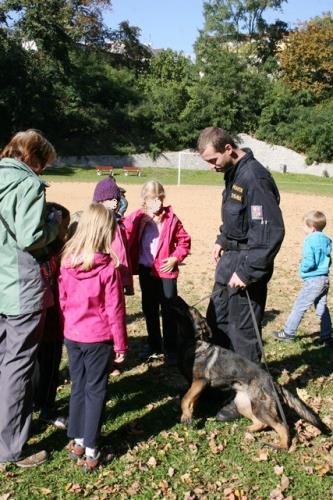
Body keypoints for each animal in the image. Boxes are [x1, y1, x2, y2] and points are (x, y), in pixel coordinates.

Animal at [172, 296, 328, 450]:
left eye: (191, 310)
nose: (177, 297)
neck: (192, 342)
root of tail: (272, 381)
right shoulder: (196, 385)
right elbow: (190, 400)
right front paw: (189, 415)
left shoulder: (200, 381)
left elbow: (185, 398)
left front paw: (185, 416)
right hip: (244, 403)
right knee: (262, 423)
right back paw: (246, 430)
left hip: (260, 407)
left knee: (282, 426)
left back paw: (281, 446)